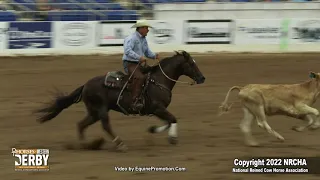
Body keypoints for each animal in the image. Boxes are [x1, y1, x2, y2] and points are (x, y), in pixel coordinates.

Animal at [34, 50, 205, 150]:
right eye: (191, 63)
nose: (202, 78)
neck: (159, 81)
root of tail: (85, 85)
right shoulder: (158, 108)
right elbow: (173, 119)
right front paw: (172, 138)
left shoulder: (158, 110)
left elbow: (169, 121)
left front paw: (154, 130)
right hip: (101, 109)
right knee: (105, 126)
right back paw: (119, 143)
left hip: (94, 112)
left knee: (81, 125)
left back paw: (86, 144)